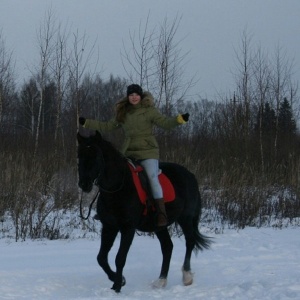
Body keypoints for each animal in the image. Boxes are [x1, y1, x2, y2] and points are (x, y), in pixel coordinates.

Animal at [77, 131, 211, 292]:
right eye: (79, 156)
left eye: (95, 156)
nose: (84, 184)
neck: (119, 187)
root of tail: (190, 175)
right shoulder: (109, 226)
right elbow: (101, 258)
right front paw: (118, 280)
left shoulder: (128, 228)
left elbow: (120, 258)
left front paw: (117, 286)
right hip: (160, 225)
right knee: (167, 247)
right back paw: (161, 281)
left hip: (186, 218)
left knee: (189, 242)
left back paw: (187, 276)